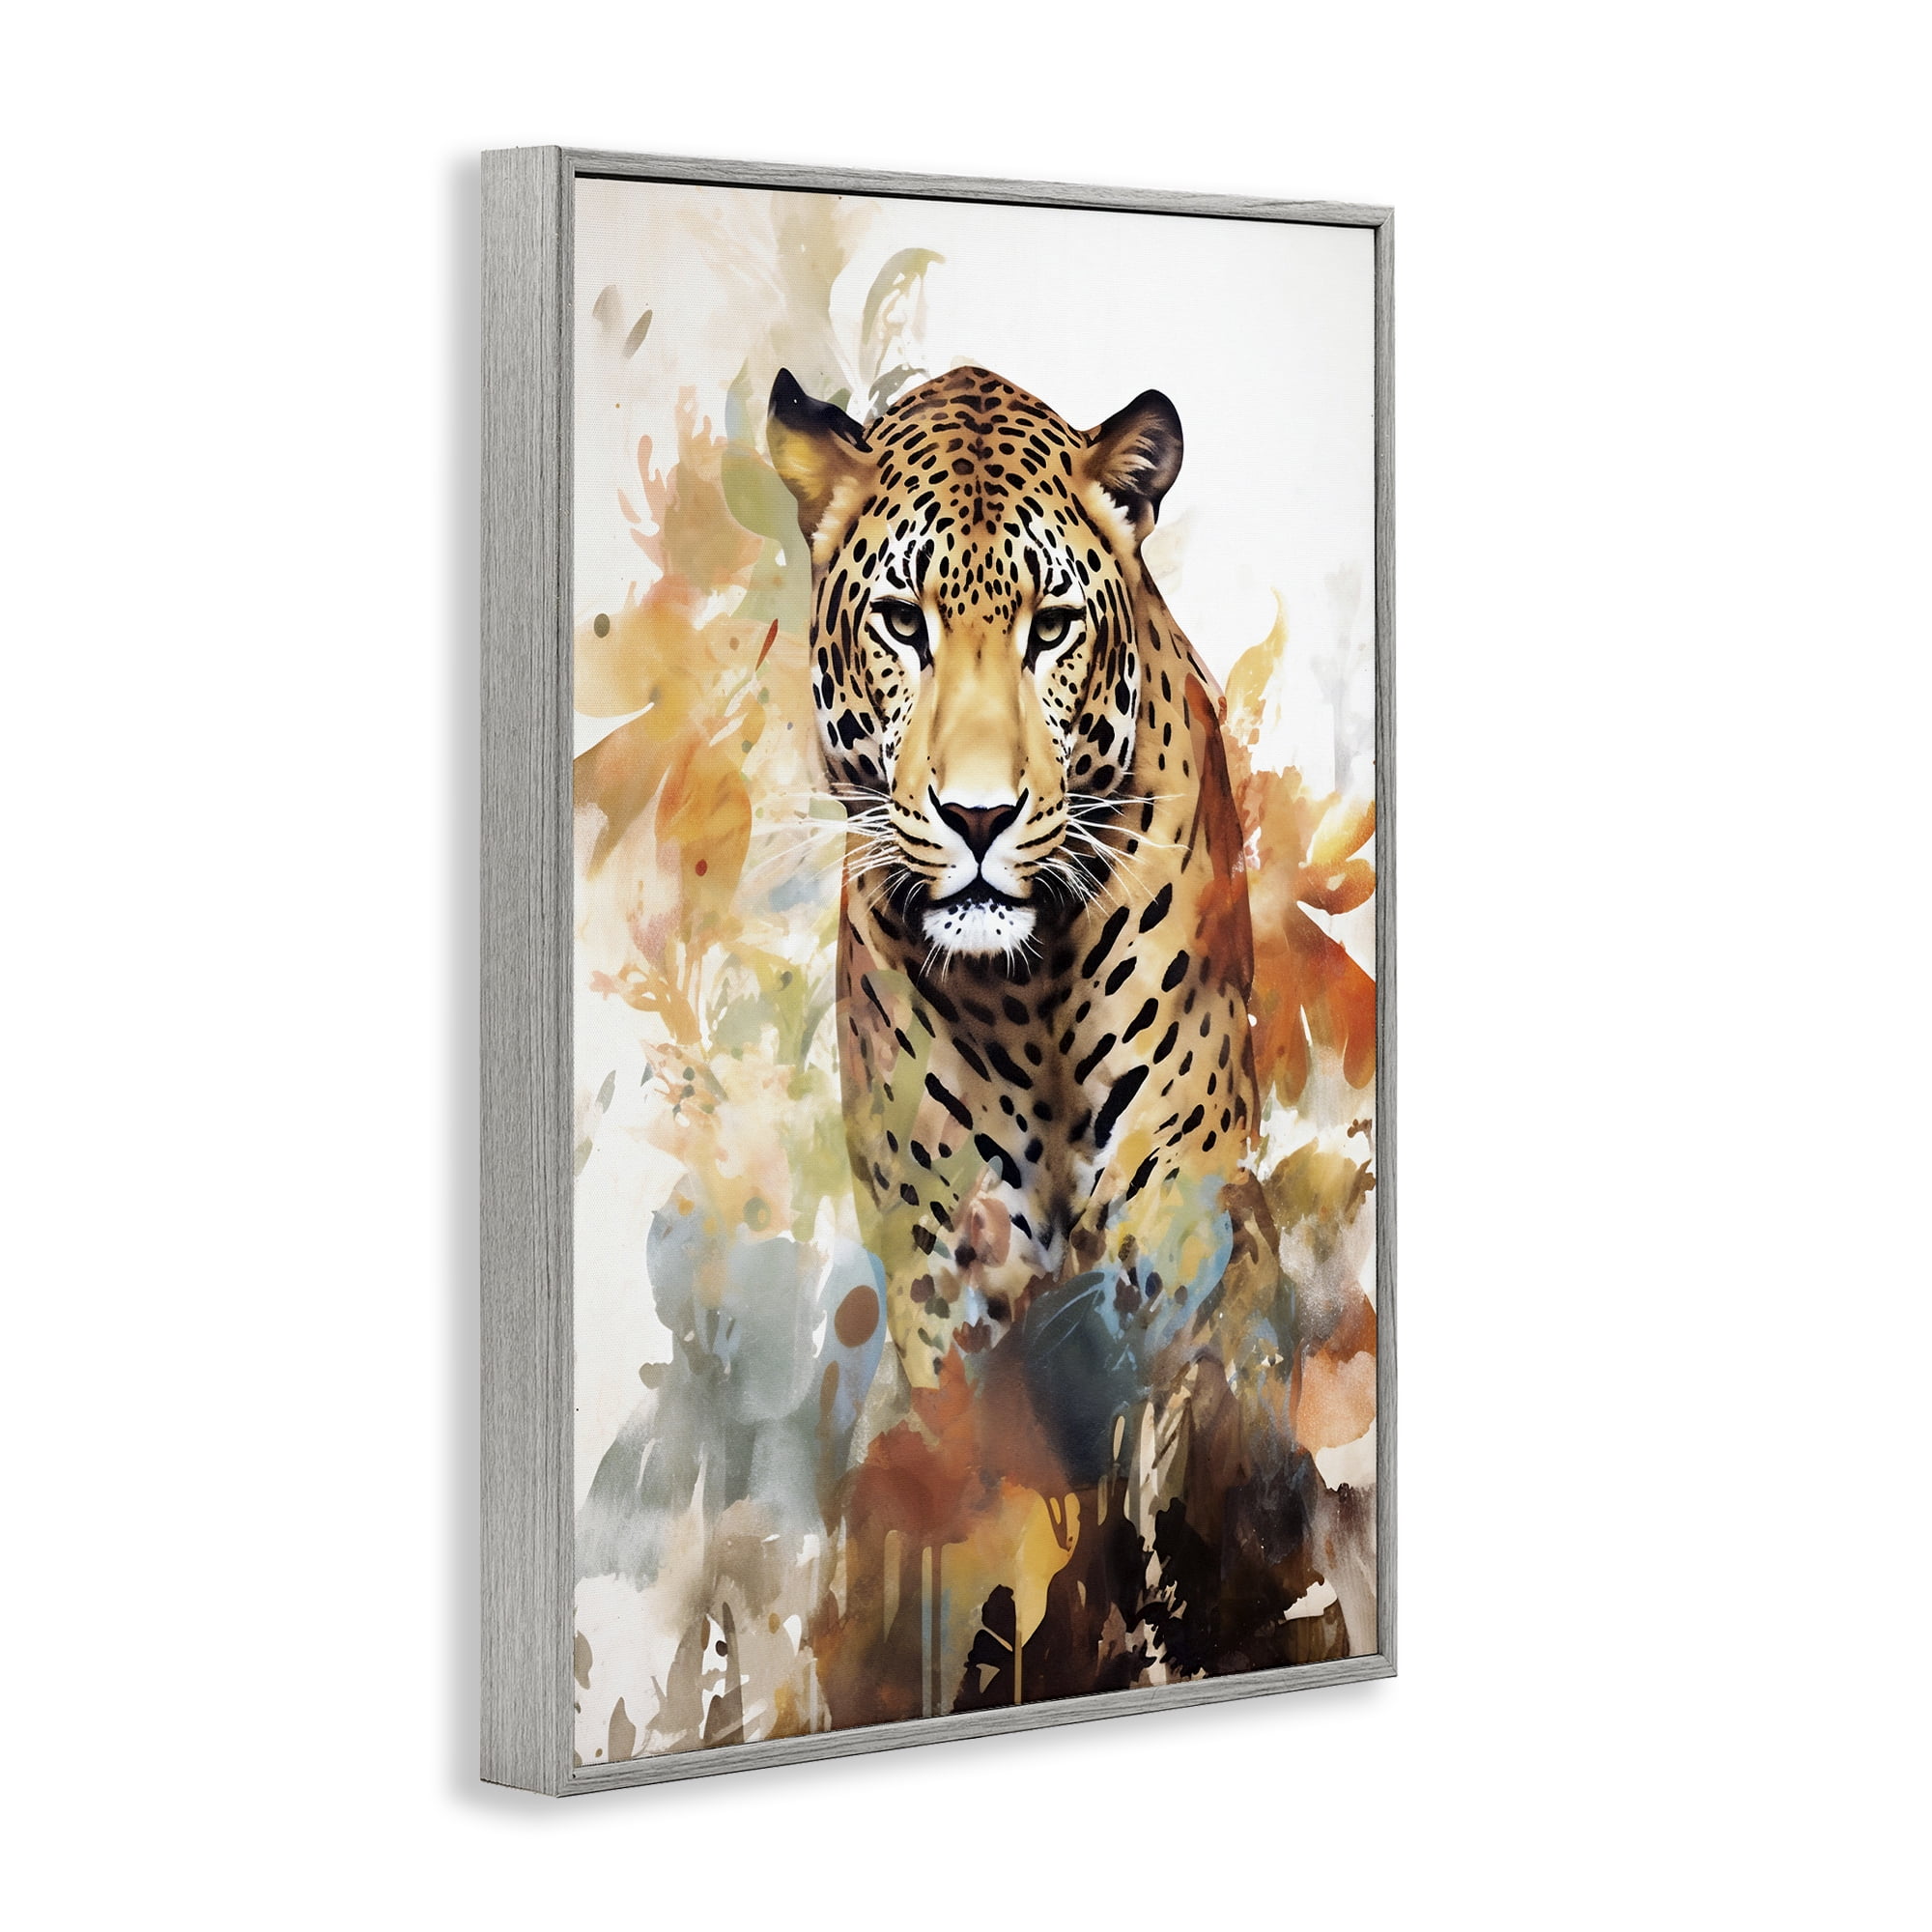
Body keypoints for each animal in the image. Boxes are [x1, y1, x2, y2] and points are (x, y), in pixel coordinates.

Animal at [768, 364, 1261, 1404]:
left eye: (1053, 628)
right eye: (902, 622)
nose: (979, 816)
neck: (1026, 996)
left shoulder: (1176, 1221)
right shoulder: (941, 1267)